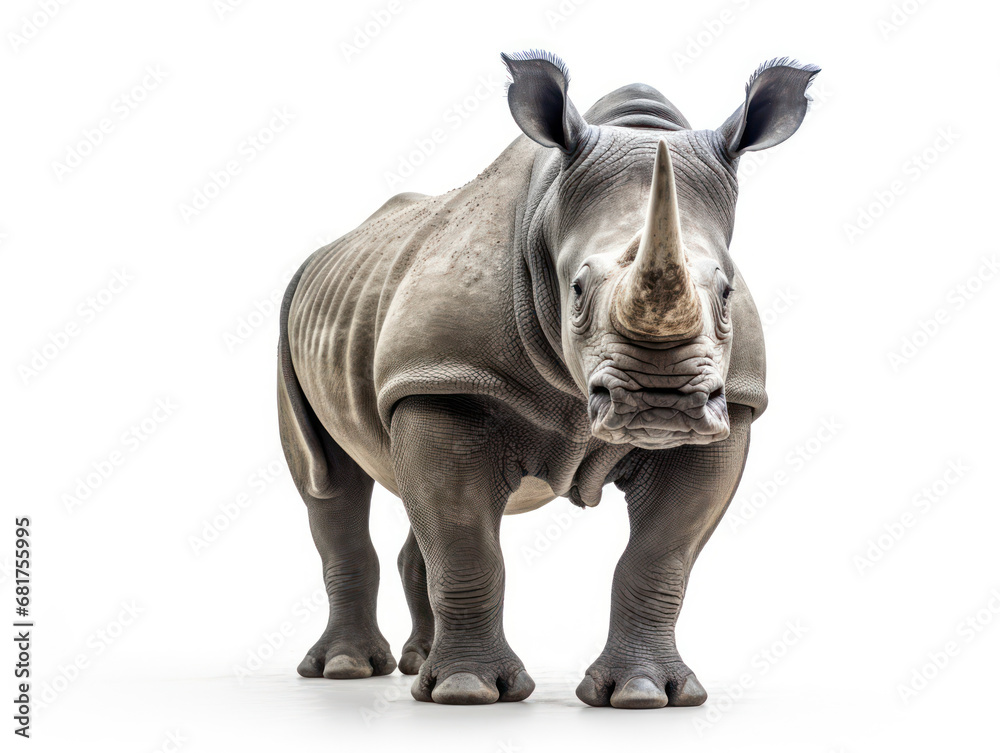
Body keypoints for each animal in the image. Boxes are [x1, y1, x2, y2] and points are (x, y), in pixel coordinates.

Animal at [277, 49, 819, 708]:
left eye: (725, 293)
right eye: (577, 291)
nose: (662, 404)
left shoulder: (733, 402)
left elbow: (662, 555)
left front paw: (645, 694)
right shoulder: (446, 375)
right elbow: (466, 543)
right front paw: (467, 691)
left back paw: (414, 664)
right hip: (310, 321)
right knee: (328, 478)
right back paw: (348, 669)